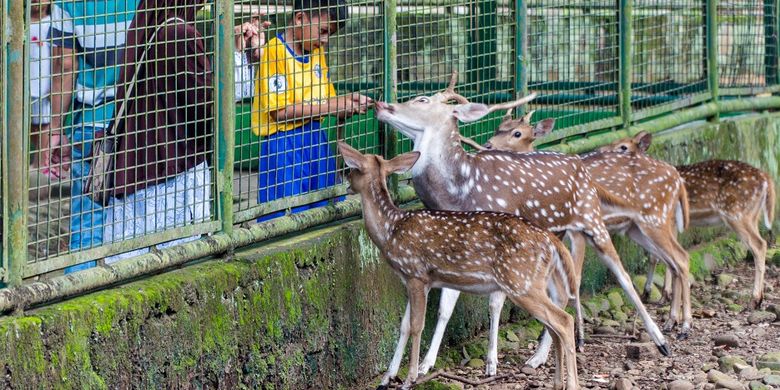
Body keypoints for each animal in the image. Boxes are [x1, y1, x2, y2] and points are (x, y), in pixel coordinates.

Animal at [338, 142, 580, 390]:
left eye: (354, 168)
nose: (346, 179)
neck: (390, 229)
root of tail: (551, 241)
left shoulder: (417, 274)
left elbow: (416, 326)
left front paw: (410, 379)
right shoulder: (412, 280)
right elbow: (404, 325)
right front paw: (386, 378)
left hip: (521, 282)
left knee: (564, 320)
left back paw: (571, 383)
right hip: (532, 282)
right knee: (555, 324)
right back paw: (557, 382)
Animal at [372, 74, 672, 380]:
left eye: (422, 100)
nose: (381, 105)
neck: (458, 190)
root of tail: (581, 164)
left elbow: (494, 304)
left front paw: (491, 363)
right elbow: (446, 306)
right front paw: (423, 365)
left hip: (591, 220)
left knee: (623, 275)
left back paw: (662, 341)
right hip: (557, 236)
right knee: (562, 292)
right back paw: (540, 356)